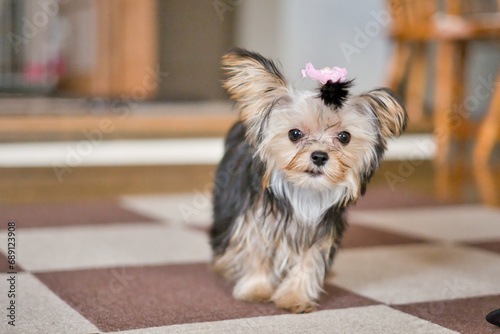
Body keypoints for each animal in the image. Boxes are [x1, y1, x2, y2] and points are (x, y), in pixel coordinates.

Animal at [209, 47, 408, 314]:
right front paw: (256, 289)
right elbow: (257, 252)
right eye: (294, 134)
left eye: (344, 137)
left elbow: (309, 261)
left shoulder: (321, 230)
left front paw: (295, 297)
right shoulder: (256, 218)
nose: (320, 156)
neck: (305, 190)